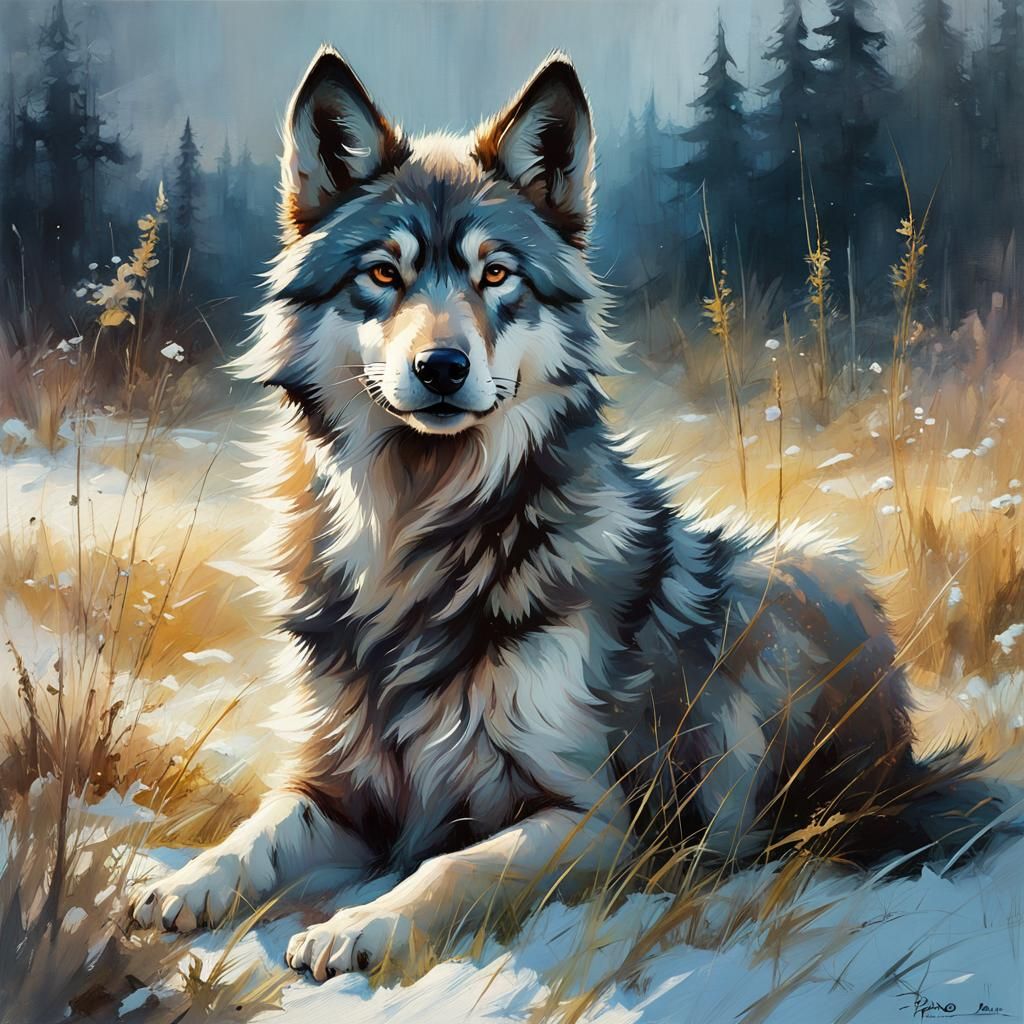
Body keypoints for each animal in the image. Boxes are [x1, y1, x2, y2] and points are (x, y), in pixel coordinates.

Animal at [130, 47, 998, 979]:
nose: (442, 367)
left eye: (496, 274)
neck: (417, 539)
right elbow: (258, 830)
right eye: (384, 274)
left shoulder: (595, 817)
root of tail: (906, 754)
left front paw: (359, 926)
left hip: (799, 572)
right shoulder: (338, 787)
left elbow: (452, 866)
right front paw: (183, 885)